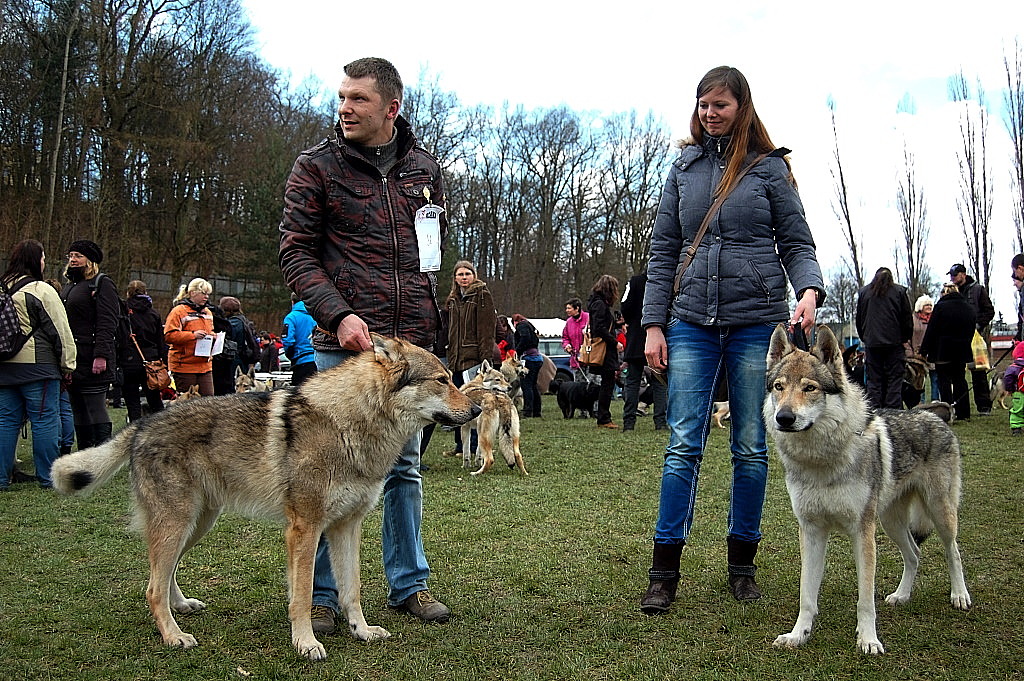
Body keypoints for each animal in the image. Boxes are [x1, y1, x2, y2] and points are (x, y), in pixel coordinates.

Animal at [48, 333, 479, 659]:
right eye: (441, 380)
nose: (477, 408)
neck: (349, 425)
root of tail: (141, 424)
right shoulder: (305, 529)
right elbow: (302, 595)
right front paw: (306, 643)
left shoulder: (346, 527)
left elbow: (351, 589)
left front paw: (362, 630)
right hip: (178, 524)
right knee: (152, 587)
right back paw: (173, 636)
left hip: (196, 525)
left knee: (163, 575)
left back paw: (181, 607)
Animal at [765, 323, 970, 655]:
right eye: (779, 387)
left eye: (810, 388)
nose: (783, 418)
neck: (821, 460)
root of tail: (931, 413)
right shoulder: (810, 530)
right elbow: (806, 594)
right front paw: (799, 635)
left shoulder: (862, 531)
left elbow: (865, 598)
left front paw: (869, 640)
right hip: (890, 522)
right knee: (914, 554)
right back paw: (902, 596)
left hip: (939, 513)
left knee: (953, 552)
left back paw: (960, 596)